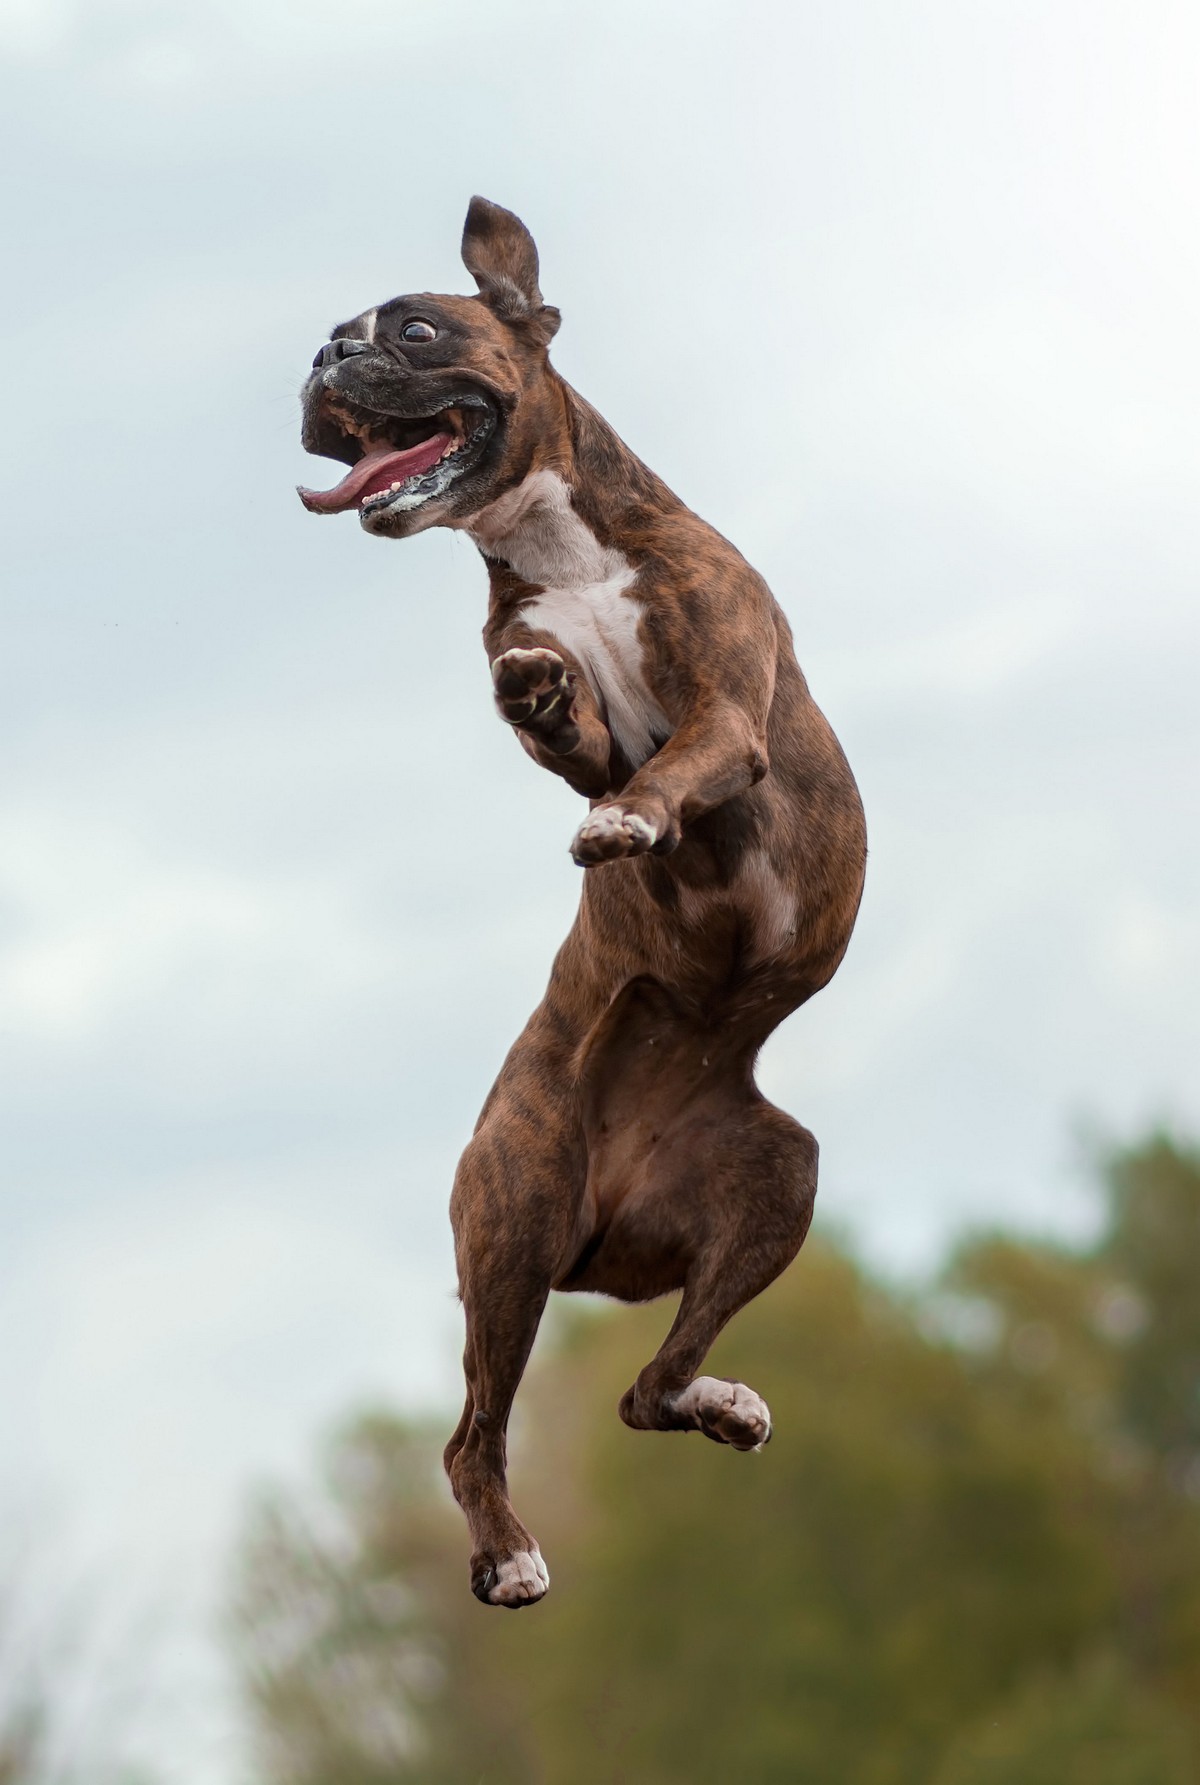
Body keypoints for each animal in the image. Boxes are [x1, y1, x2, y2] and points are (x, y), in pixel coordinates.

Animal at [298, 195, 864, 1606]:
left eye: (416, 331)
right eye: (334, 337)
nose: (328, 356)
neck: (559, 543)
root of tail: (607, 1231)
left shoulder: (724, 717)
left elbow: (667, 770)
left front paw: (621, 810)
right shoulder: (600, 734)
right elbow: (589, 747)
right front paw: (549, 704)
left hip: (775, 1179)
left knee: (647, 1390)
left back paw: (721, 1403)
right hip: (515, 1223)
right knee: (477, 1435)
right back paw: (508, 1555)